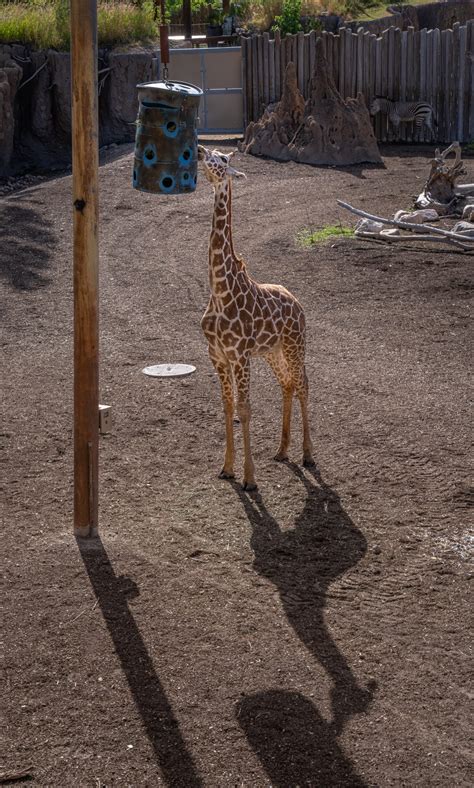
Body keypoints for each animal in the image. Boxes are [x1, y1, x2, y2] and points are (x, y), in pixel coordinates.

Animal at [198, 141, 312, 486]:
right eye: (210, 152)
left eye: (223, 158)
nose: (199, 149)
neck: (220, 292)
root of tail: (297, 302)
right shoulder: (217, 356)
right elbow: (227, 407)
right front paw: (227, 468)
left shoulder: (239, 356)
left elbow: (245, 409)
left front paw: (249, 477)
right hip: (272, 351)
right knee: (287, 383)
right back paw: (282, 451)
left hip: (295, 344)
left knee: (303, 383)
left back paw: (308, 455)